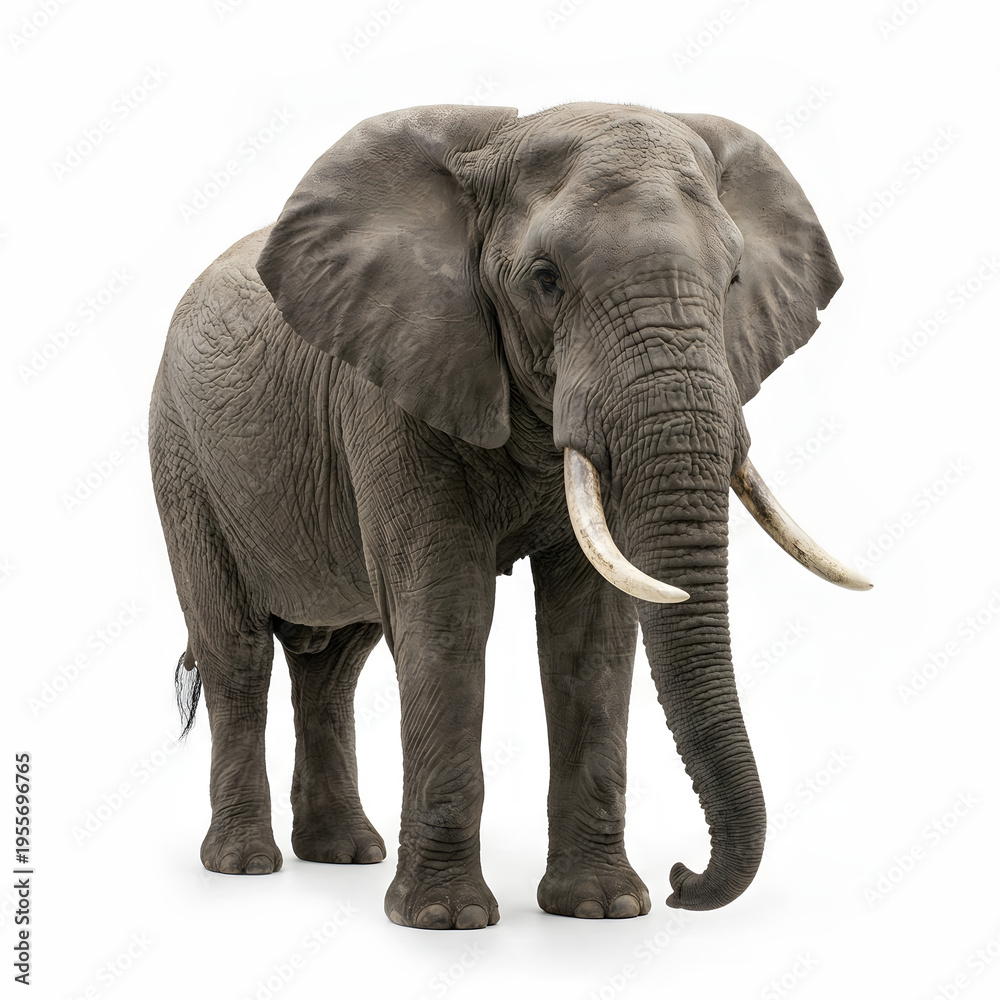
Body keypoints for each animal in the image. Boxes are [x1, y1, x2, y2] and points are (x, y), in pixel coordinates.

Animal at [149, 101, 870, 930]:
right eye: (545, 279)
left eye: (733, 278)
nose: (683, 878)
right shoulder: (392, 385)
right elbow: (445, 614)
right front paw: (445, 921)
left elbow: (591, 631)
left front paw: (602, 910)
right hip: (182, 458)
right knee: (237, 653)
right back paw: (245, 866)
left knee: (334, 667)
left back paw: (345, 855)